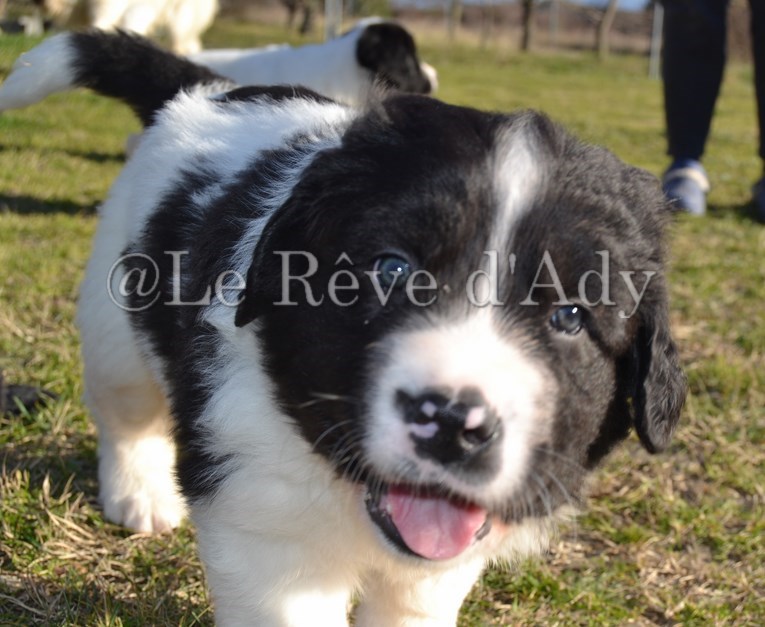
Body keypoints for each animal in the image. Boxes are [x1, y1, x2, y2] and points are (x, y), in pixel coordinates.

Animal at [0, 31, 685, 625]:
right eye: (392, 269)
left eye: (569, 316)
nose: (450, 424)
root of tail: (208, 90)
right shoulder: (264, 522)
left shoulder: (445, 554)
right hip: (114, 317)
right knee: (126, 411)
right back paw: (139, 497)